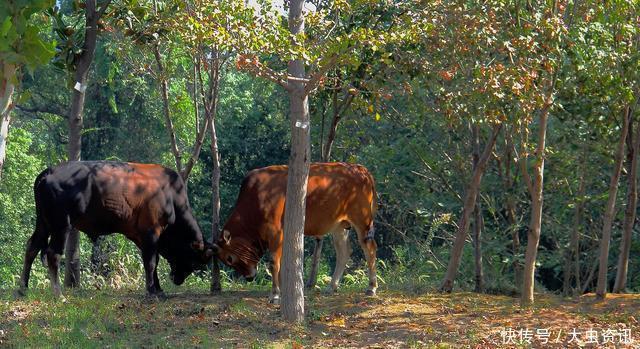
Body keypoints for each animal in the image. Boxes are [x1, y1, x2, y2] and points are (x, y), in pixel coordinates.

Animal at [215, 162, 378, 302]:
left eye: (229, 258)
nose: (249, 277)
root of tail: (361, 169)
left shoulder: (275, 233)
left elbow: (274, 263)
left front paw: (275, 294)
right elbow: (282, 263)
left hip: (362, 219)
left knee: (369, 248)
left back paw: (371, 287)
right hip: (339, 226)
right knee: (344, 252)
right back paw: (332, 286)